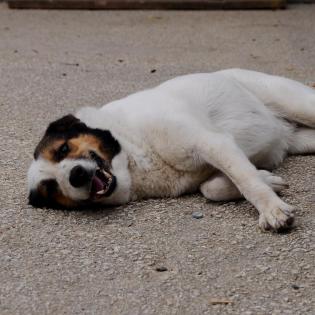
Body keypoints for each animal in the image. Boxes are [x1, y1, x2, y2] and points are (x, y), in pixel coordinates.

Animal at [27, 69, 315, 232]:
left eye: (63, 149)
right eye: (51, 188)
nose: (75, 175)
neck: (133, 150)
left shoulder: (211, 142)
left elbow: (247, 181)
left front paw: (272, 209)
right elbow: (211, 188)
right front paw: (269, 179)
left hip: (297, 103)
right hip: (300, 139)